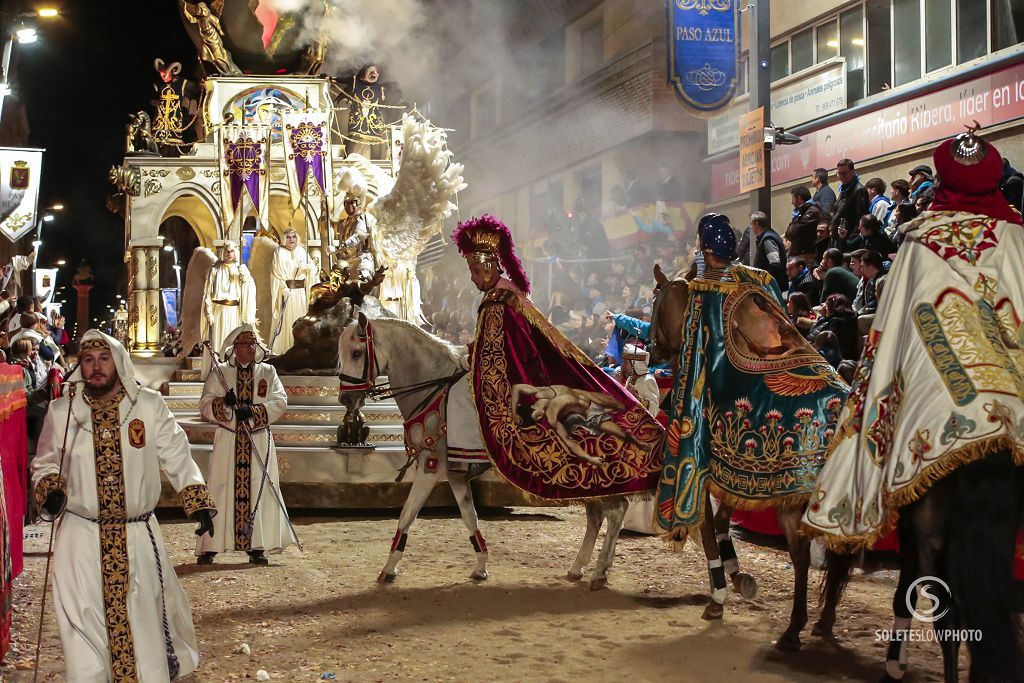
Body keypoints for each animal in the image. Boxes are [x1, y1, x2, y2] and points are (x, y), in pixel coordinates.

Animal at [339, 313, 630, 589]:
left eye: (356, 353)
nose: (346, 399)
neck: (433, 386)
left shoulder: (430, 466)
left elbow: (406, 514)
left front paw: (388, 568)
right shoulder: (456, 474)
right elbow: (470, 517)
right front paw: (480, 566)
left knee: (617, 509)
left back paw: (600, 571)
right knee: (597, 515)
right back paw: (578, 567)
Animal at [647, 264, 856, 651]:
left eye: (655, 301)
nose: (652, 349)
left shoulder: (700, 473)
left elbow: (709, 529)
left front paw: (719, 594)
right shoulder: (736, 475)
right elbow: (721, 523)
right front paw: (736, 574)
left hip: (793, 504)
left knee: (801, 556)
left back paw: (793, 629)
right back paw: (823, 620)